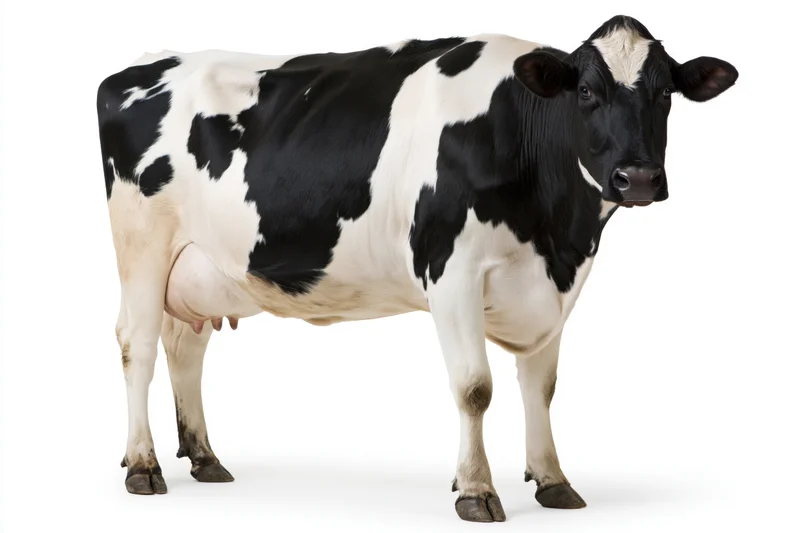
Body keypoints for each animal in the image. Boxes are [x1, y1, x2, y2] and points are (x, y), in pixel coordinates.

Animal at [96, 14, 738, 522]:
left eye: (666, 92)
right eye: (585, 91)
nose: (639, 179)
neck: (558, 233)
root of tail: (141, 65)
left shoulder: (550, 286)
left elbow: (541, 387)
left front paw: (552, 479)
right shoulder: (450, 269)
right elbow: (474, 387)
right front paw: (476, 489)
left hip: (201, 269)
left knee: (185, 349)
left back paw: (205, 458)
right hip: (141, 245)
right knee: (138, 346)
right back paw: (143, 466)